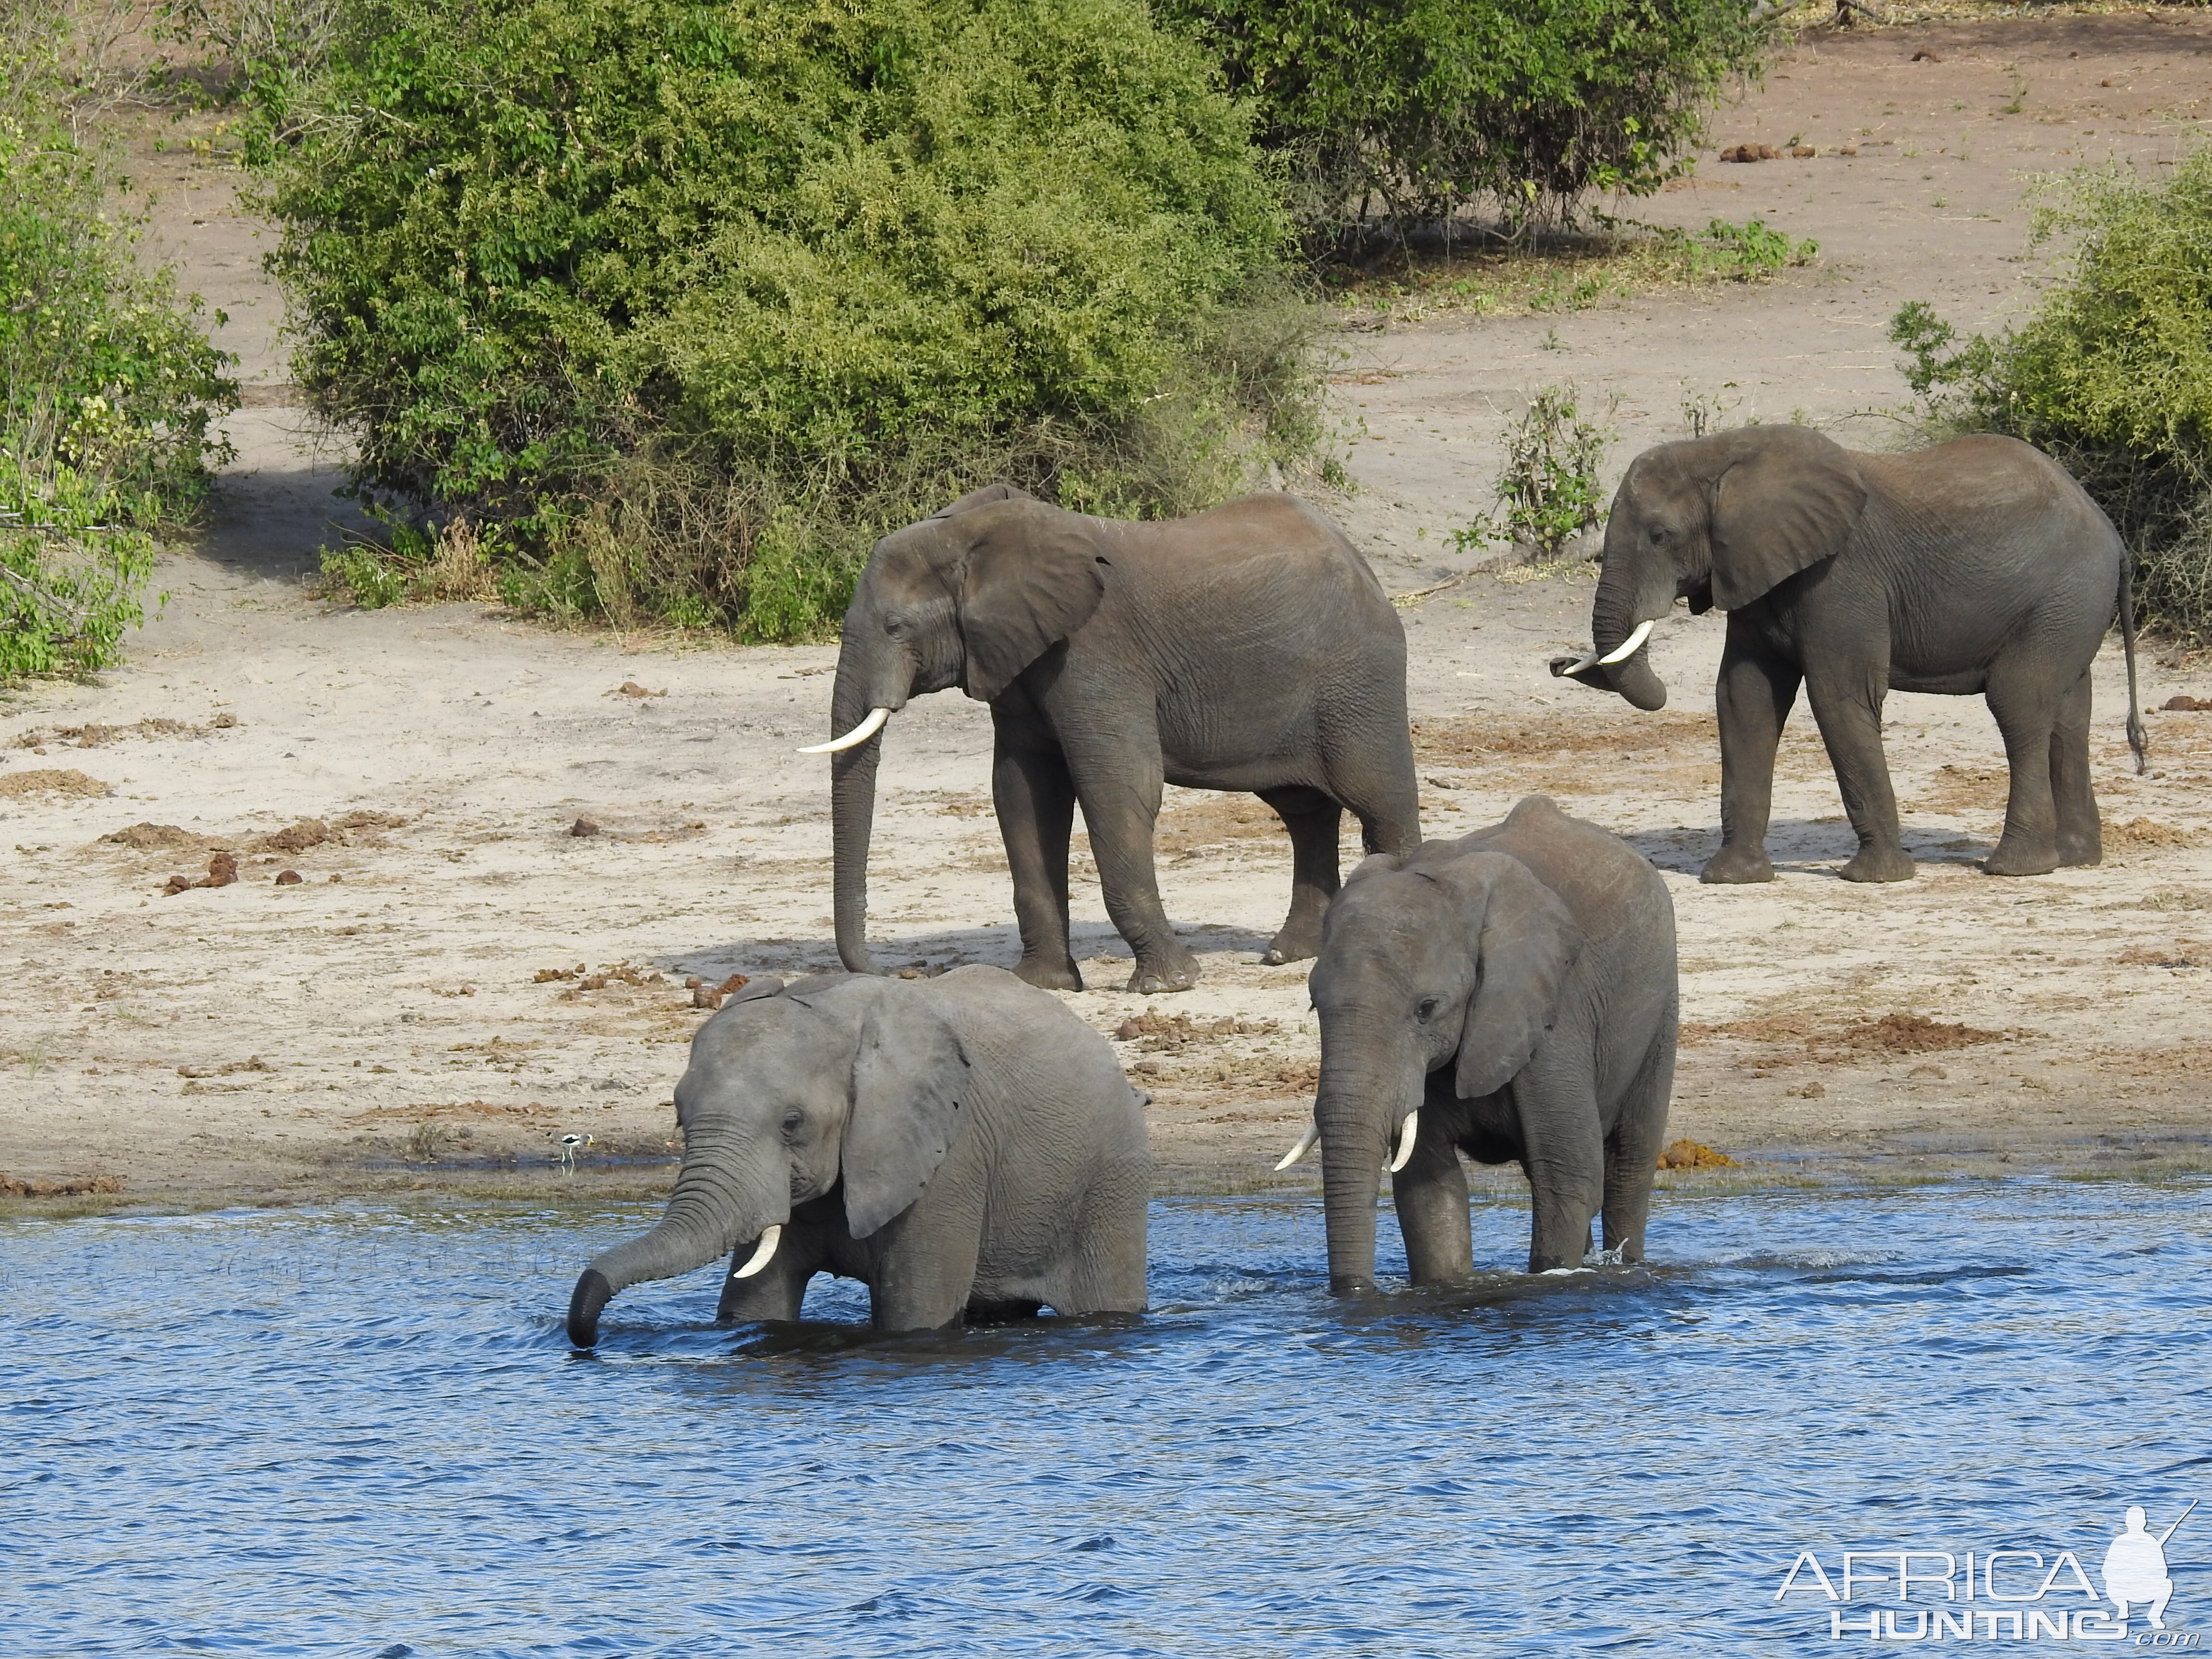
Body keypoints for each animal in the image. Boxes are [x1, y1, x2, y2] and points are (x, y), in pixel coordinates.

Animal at [562, 969, 1150, 1345]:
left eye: (792, 1123)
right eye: (681, 1119)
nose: (587, 1338)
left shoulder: (949, 1159)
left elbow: (914, 1314)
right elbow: (756, 1303)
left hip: (1111, 1175)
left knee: (1105, 1296)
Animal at [809, 484, 1416, 999]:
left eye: (895, 628)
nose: (900, 973)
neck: (974, 536)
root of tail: (1361, 563)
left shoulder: (1097, 654)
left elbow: (1119, 789)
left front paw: (1167, 986)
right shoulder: (1018, 664)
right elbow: (1023, 797)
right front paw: (1043, 985)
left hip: (1360, 678)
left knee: (1378, 800)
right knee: (1305, 811)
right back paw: (1289, 954)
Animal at [1283, 801, 1672, 1300]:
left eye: (1427, 1009)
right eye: (1314, 1004)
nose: (1354, 1292)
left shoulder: (1554, 1013)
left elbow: (1567, 1173)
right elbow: (1428, 1186)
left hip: (1660, 1006)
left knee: (1628, 1164)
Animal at [1557, 435, 2141, 889]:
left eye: (1660, 536)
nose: (1560, 663)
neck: (1722, 453)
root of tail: (2113, 535)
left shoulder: (1841, 580)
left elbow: (1838, 697)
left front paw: (1875, 879)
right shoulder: (1754, 573)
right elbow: (1745, 698)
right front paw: (1731, 878)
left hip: (2061, 597)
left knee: (2018, 704)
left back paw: (2016, 867)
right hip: (2070, 609)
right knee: (2070, 714)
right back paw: (2077, 858)